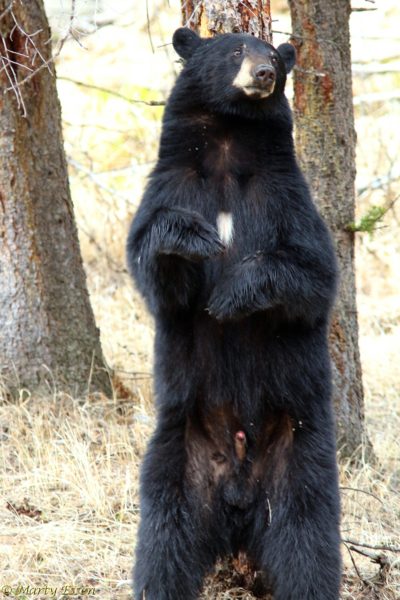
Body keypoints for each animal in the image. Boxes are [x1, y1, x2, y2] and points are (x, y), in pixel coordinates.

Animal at [127, 27, 340, 600]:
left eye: (275, 58)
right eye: (235, 51)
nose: (264, 74)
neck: (228, 145)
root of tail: (240, 497)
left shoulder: (286, 197)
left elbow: (312, 273)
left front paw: (230, 295)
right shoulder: (173, 183)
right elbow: (156, 272)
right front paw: (194, 237)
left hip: (300, 453)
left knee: (308, 539)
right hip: (179, 452)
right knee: (164, 539)